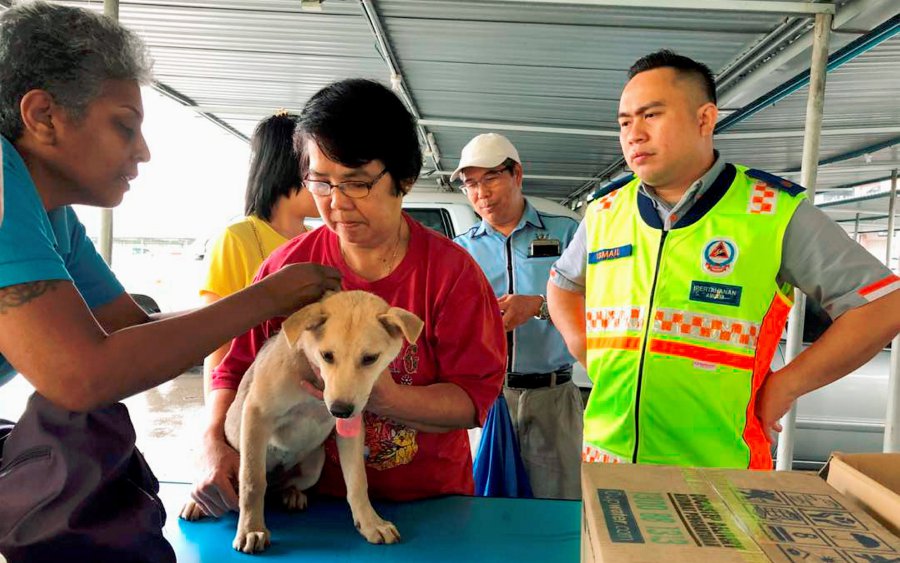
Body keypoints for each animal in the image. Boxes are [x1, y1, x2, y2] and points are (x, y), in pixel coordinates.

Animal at [185, 290, 422, 556]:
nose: (340, 411)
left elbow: (358, 481)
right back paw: (195, 504)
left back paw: (292, 494)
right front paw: (251, 530)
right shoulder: (256, 414)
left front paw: (371, 523)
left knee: (279, 486)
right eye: (327, 355)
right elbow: (253, 483)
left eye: (370, 358)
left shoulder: (351, 427)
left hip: (314, 467)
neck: (312, 377)